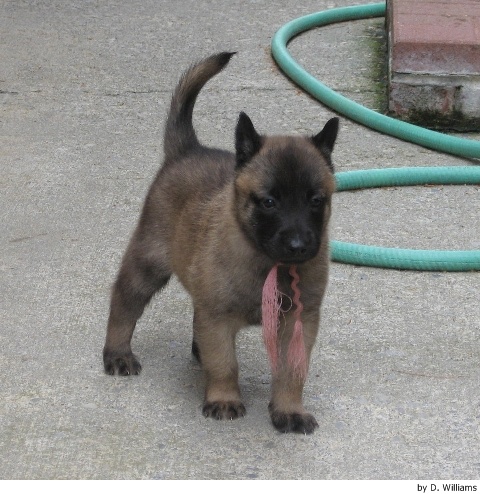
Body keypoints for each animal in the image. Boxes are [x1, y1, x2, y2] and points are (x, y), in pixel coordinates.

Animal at [104, 52, 338, 434]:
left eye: (316, 200)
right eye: (268, 202)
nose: (299, 246)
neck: (266, 261)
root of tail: (188, 150)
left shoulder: (299, 320)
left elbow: (291, 372)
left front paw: (289, 410)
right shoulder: (217, 317)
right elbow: (224, 362)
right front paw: (224, 399)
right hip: (148, 262)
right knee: (124, 301)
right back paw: (117, 353)